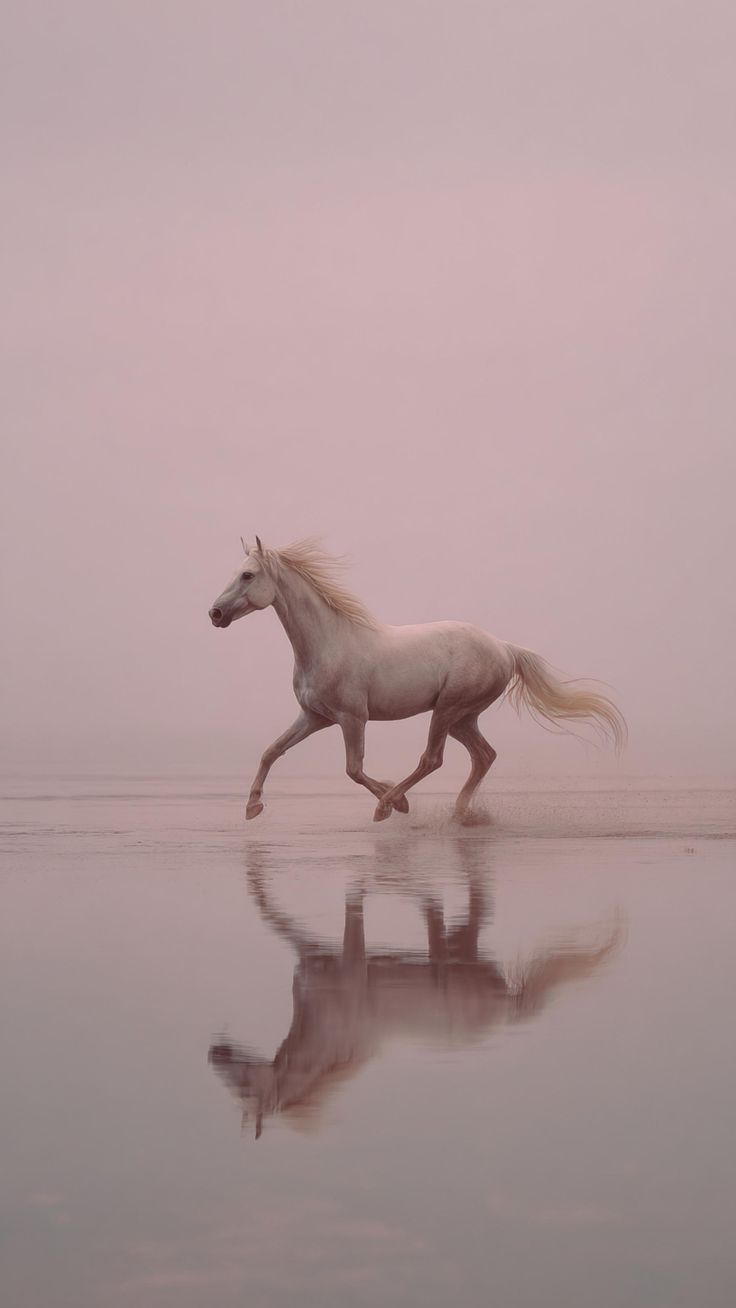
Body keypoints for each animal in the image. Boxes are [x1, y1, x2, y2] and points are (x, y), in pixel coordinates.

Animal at [208, 537, 626, 822]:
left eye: (248, 574)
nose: (215, 613)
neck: (328, 643)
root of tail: (504, 647)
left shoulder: (351, 718)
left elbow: (354, 769)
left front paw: (394, 802)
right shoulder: (315, 717)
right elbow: (272, 750)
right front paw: (253, 806)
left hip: (448, 710)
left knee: (433, 759)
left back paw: (392, 805)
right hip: (462, 717)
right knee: (483, 756)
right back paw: (460, 813)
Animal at [209, 840, 622, 1137]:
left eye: (243, 1090)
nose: (214, 1053)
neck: (328, 1030)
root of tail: (509, 1006)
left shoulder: (346, 957)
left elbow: (301, 911)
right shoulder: (316, 955)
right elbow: (276, 918)